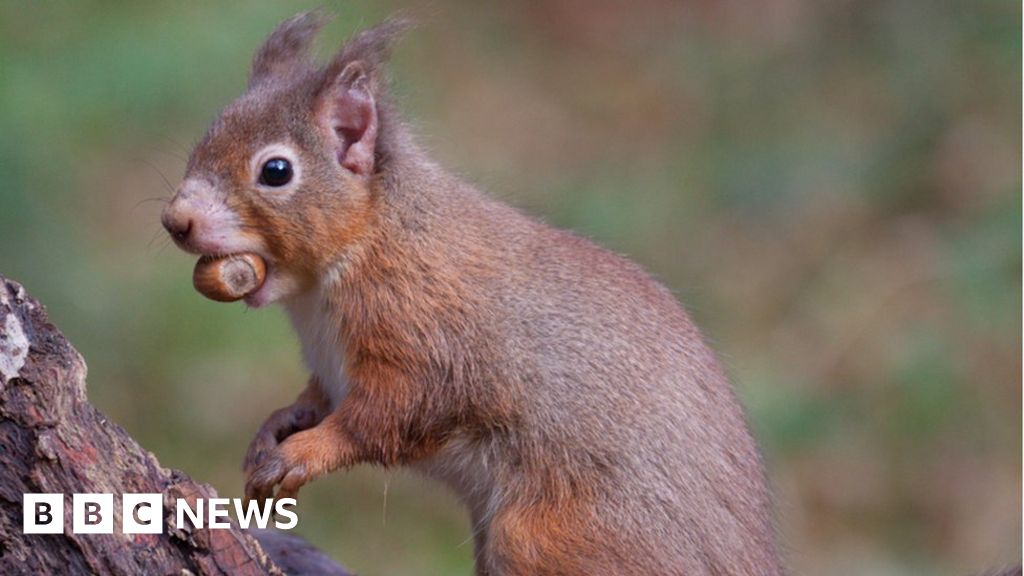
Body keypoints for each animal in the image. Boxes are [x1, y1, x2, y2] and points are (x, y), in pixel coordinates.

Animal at [161, 11, 784, 576]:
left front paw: (303, 455)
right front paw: (277, 426)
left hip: (550, 537)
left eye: (276, 171)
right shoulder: (334, 365)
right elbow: (316, 399)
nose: (176, 221)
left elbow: (386, 416)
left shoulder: (427, 335)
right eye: (206, 136)